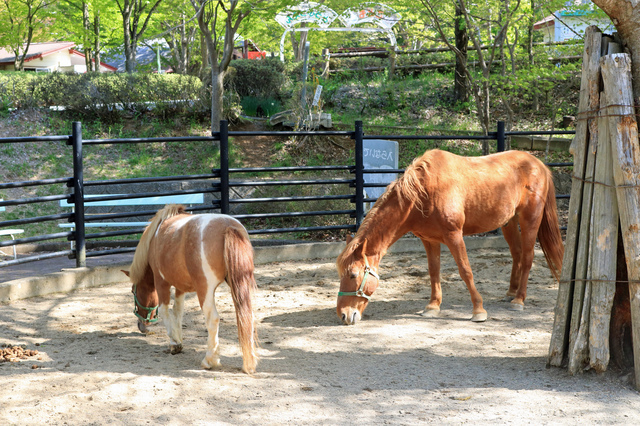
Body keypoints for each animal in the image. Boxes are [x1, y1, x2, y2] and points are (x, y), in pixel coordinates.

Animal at [122, 205, 258, 374]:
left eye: (133, 291)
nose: (141, 326)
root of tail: (228, 226)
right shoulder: (181, 286)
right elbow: (178, 311)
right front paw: (178, 339)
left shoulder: (161, 283)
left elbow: (166, 311)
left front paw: (174, 342)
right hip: (239, 285)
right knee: (248, 316)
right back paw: (249, 363)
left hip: (205, 290)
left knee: (212, 319)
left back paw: (209, 360)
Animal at [338, 148, 564, 324]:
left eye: (353, 275)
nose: (344, 315)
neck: (422, 193)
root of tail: (539, 165)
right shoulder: (429, 240)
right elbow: (433, 272)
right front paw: (432, 307)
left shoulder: (454, 235)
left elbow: (465, 271)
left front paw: (478, 310)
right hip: (509, 222)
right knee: (517, 254)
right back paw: (510, 294)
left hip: (530, 220)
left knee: (527, 257)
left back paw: (519, 300)